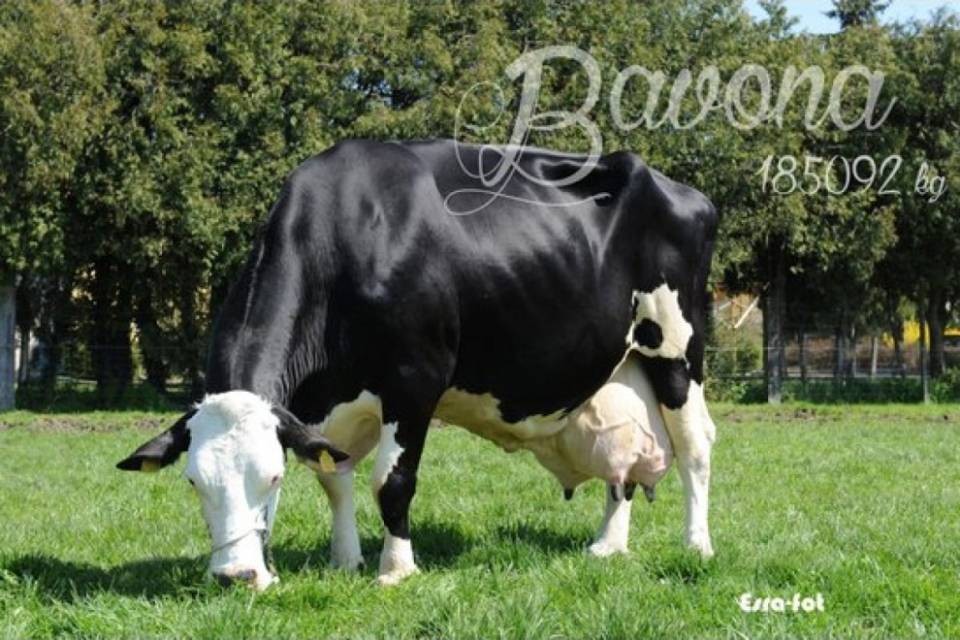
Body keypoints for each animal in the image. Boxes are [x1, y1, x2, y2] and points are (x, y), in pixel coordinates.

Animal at [117, 139, 718, 589]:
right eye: (193, 481)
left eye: (272, 476)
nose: (236, 576)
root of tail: (678, 187)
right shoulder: (319, 408)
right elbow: (334, 477)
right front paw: (346, 560)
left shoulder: (414, 382)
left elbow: (391, 480)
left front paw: (395, 568)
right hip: (618, 367)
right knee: (623, 463)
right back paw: (608, 545)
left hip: (676, 351)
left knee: (694, 450)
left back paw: (696, 545)